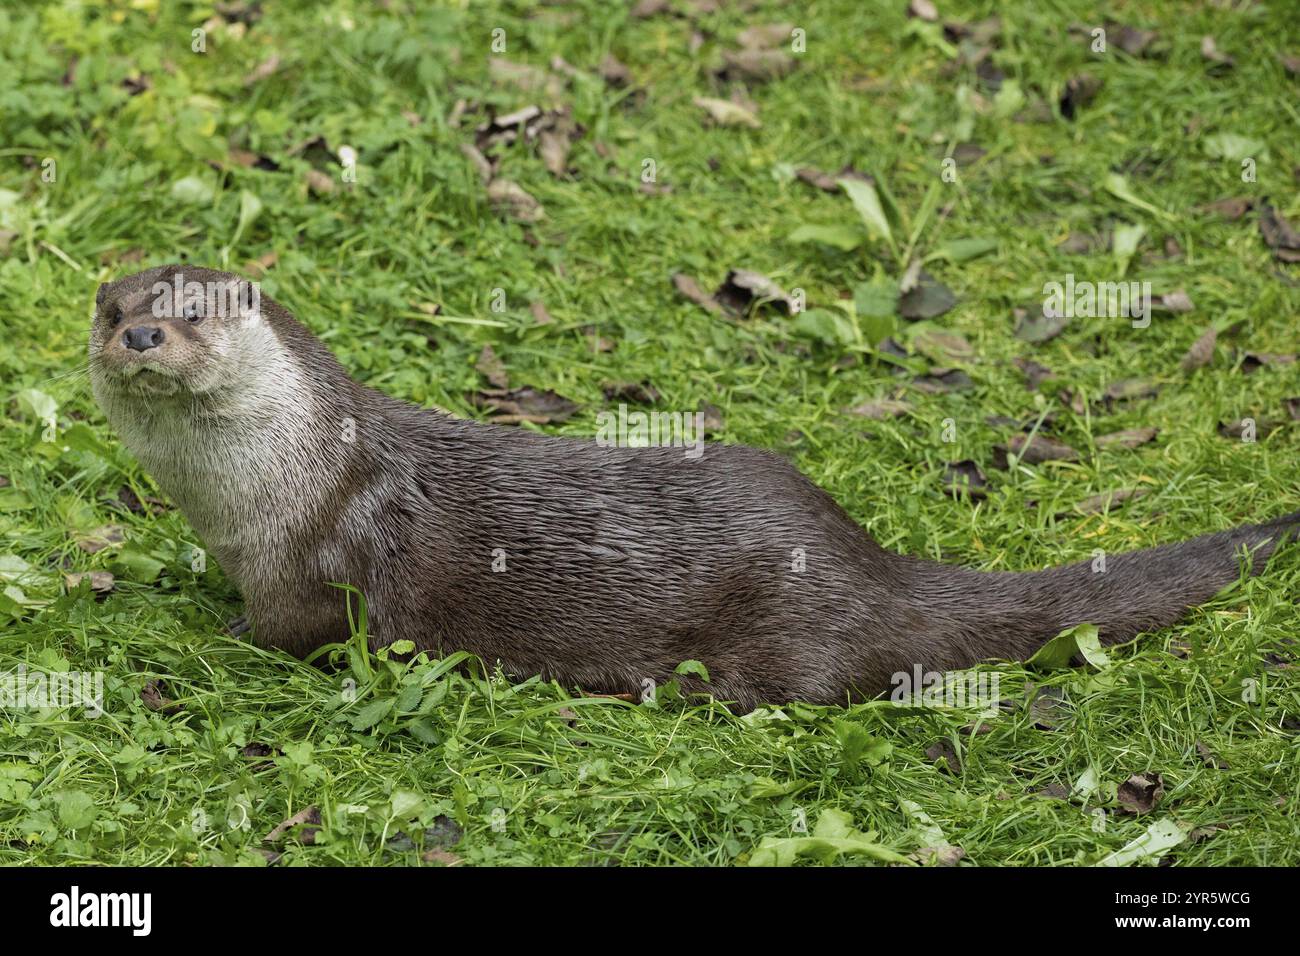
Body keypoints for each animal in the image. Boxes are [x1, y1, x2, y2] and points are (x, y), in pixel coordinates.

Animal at [94, 265, 1300, 712]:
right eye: (113, 308)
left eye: (194, 312)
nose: (141, 335)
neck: (263, 492)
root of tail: (872, 563)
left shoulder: (313, 570)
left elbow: (280, 636)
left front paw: (184, 640)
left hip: (783, 637)